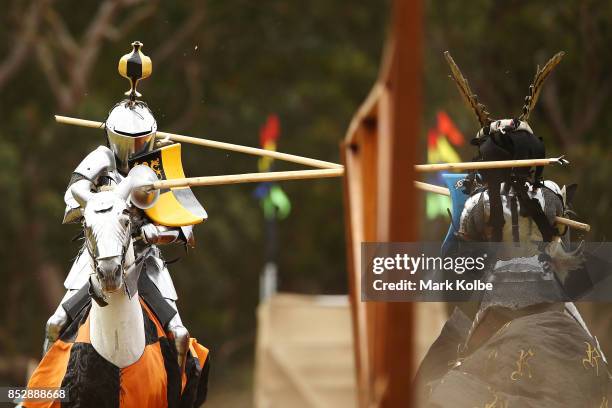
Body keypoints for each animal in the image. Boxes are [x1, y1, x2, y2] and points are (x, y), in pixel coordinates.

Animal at [24, 167, 208, 408]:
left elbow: (184, 230)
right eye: (86, 224)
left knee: (180, 335)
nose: (109, 272)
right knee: (54, 324)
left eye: (126, 219)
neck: (119, 350)